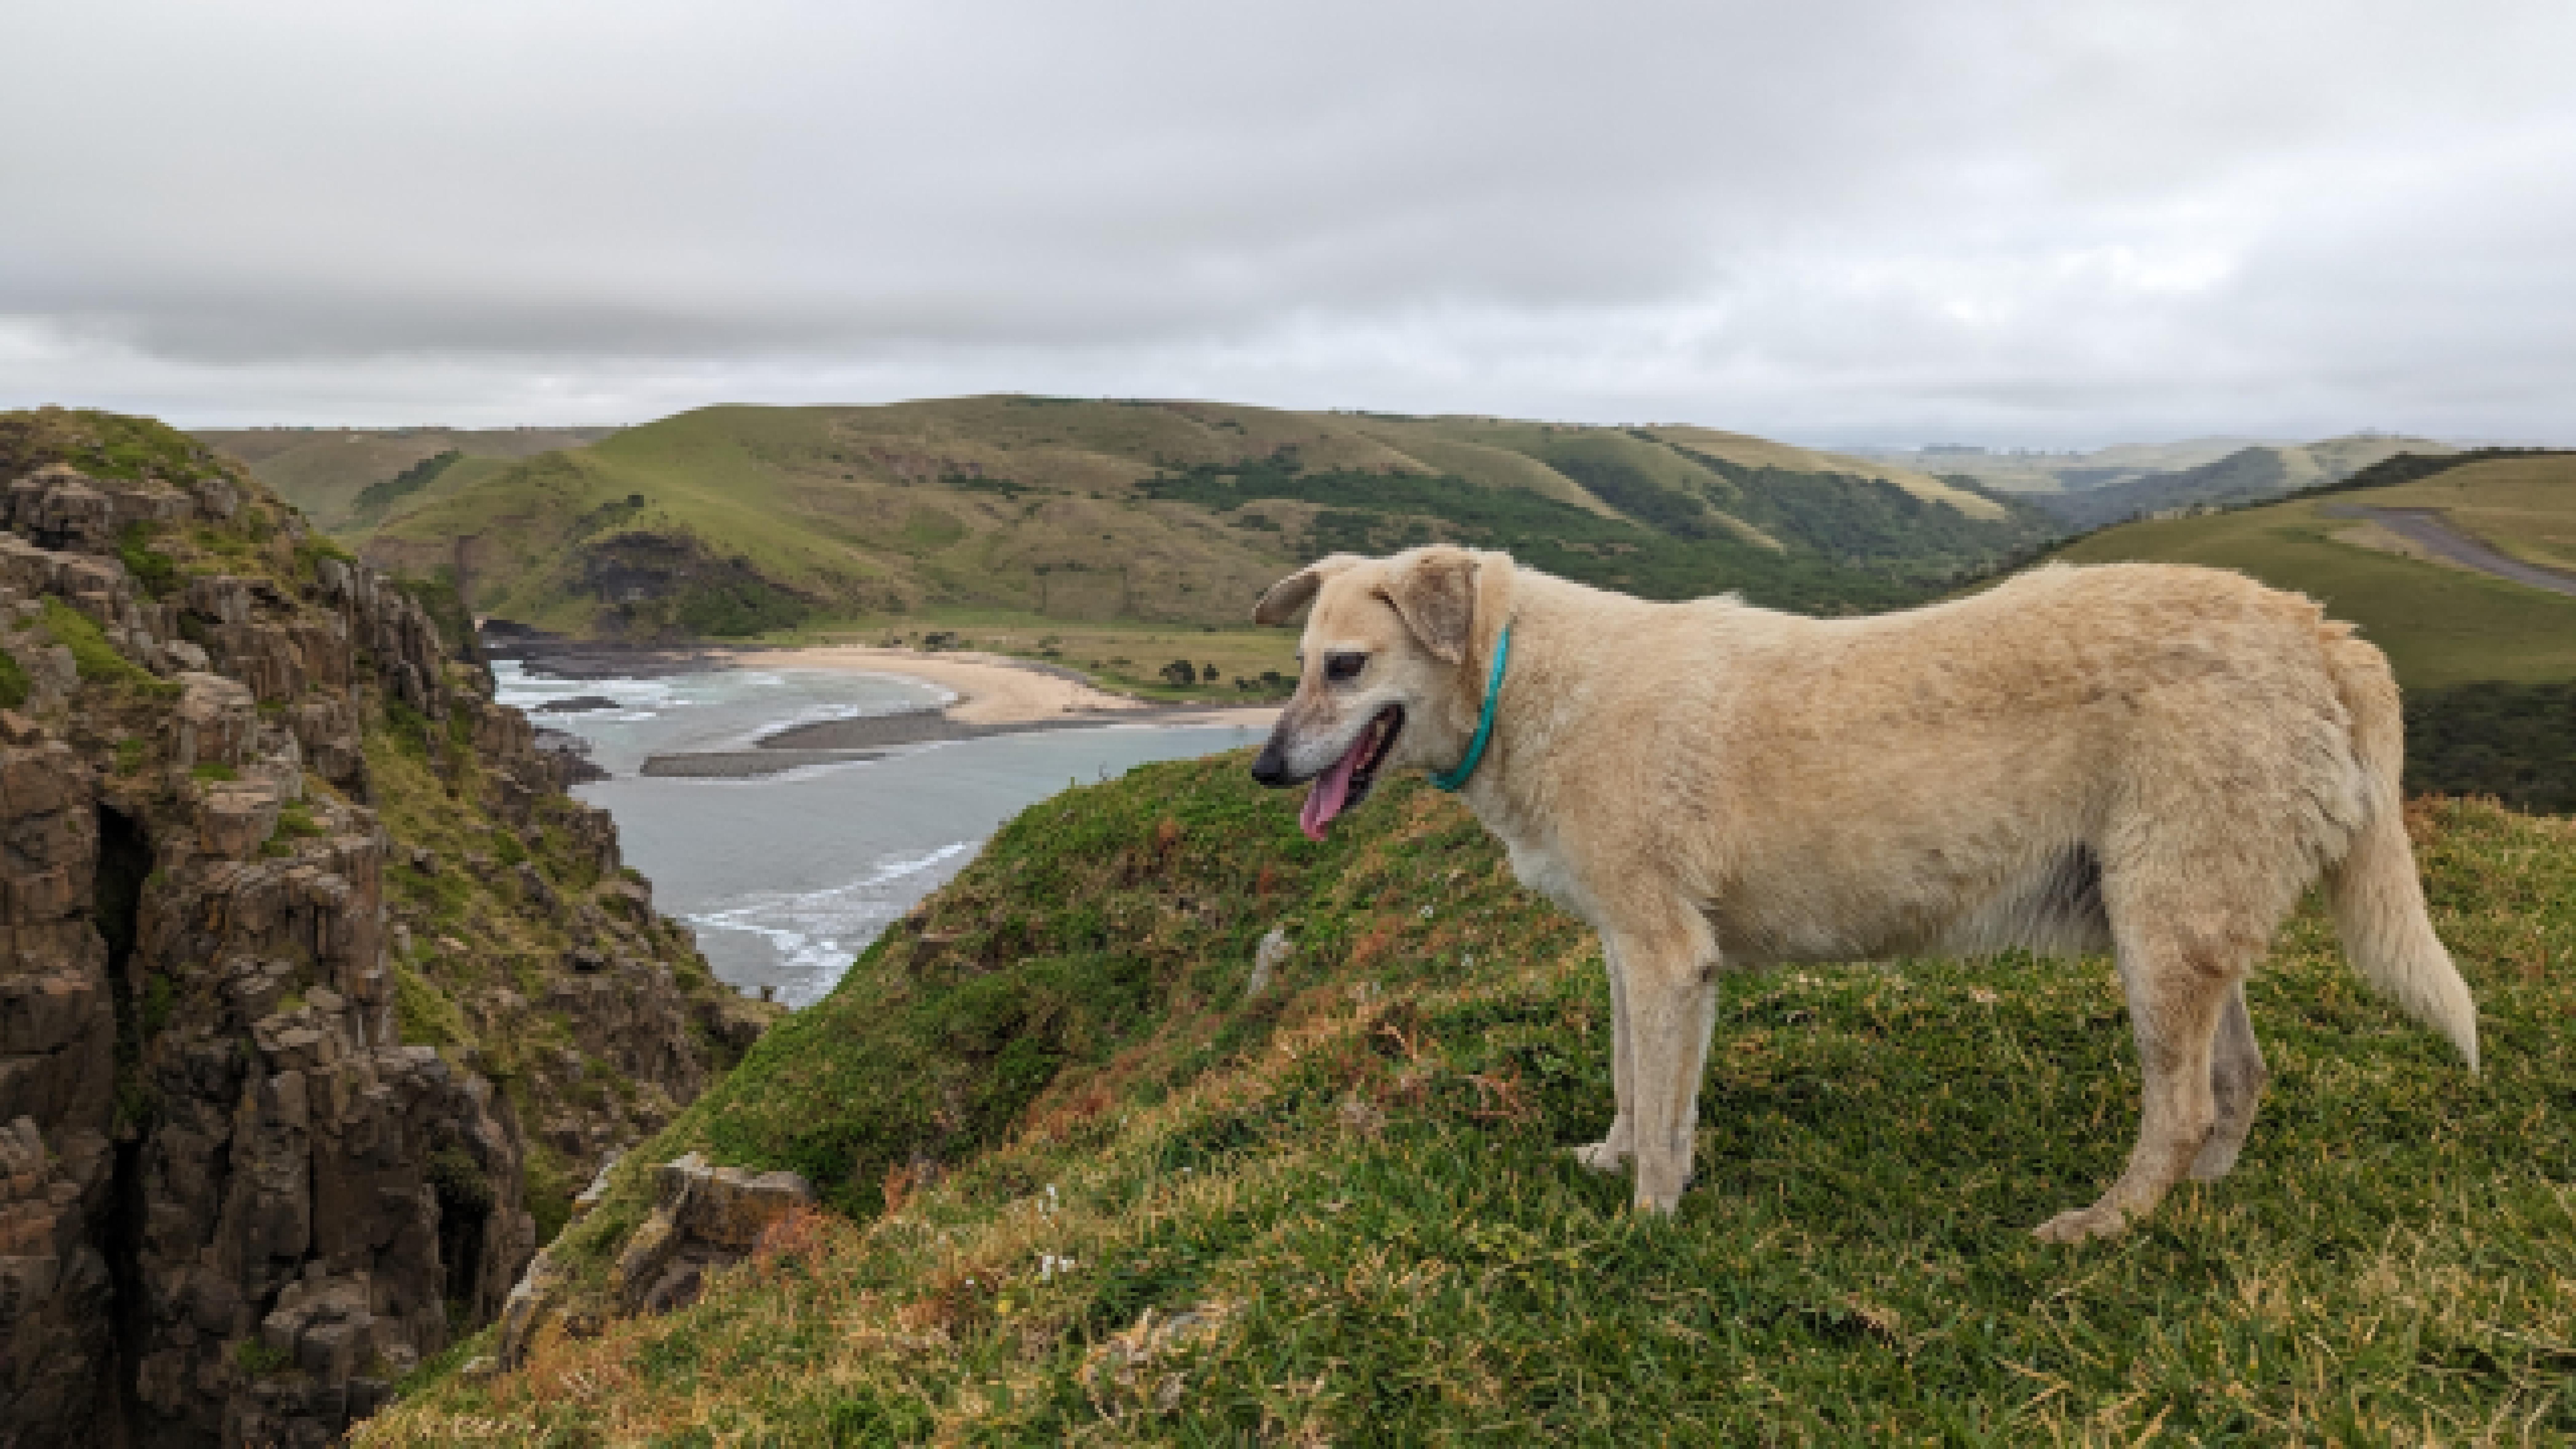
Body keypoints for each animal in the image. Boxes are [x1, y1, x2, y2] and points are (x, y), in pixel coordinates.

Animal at [1247, 551, 2473, 1240]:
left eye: (1345, 666)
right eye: (1296, 663)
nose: (1262, 768)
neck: (1519, 674)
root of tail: (2316, 630)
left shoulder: (1664, 959)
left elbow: (1659, 1106)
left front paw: (1645, 1222)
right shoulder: (1630, 954)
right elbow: (1634, 1081)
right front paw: (1614, 1157)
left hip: (2159, 940)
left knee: (2178, 1107)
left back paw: (2105, 1225)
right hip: (2178, 925)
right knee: (2234, 1081)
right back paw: (2201, 1193)